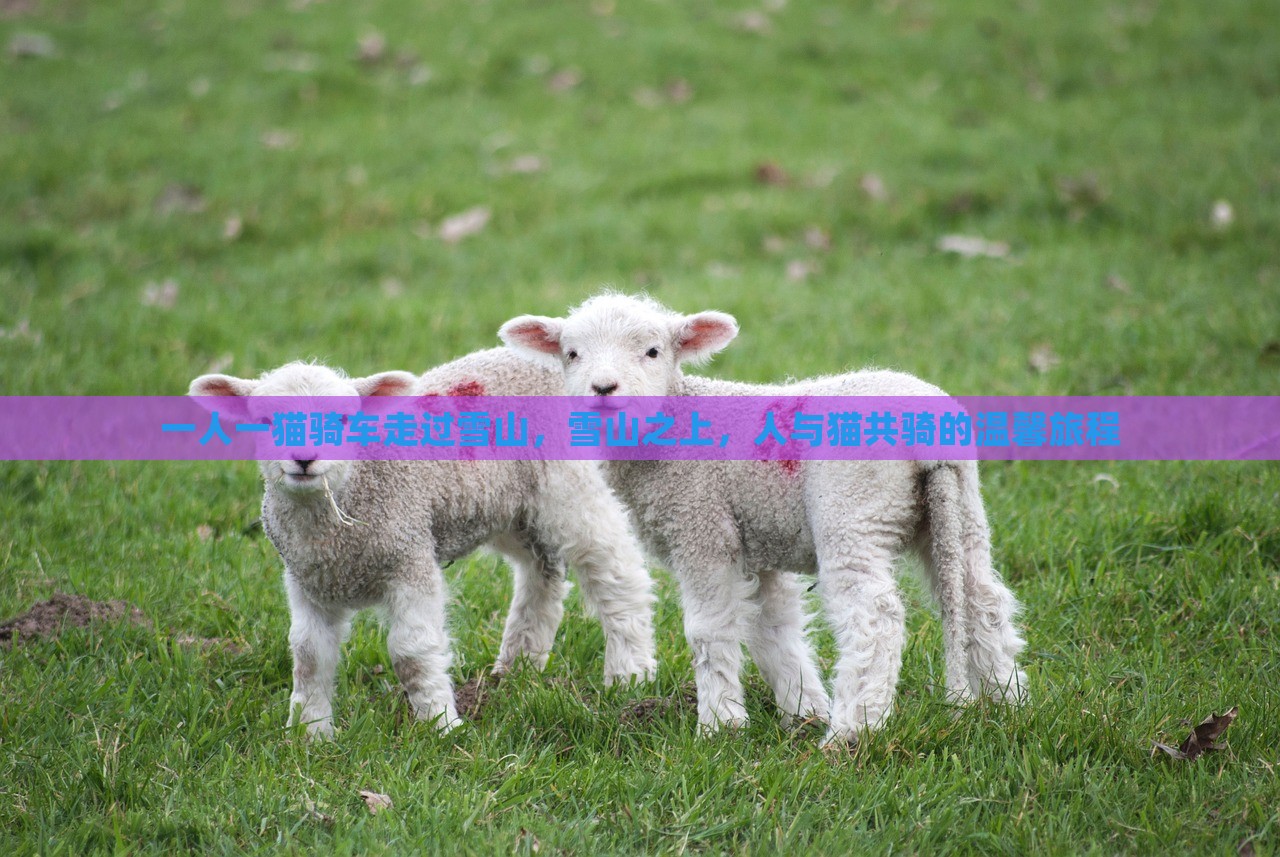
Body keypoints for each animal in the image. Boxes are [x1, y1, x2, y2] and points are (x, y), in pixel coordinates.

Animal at [189, 347, 660, 736]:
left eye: (344, 421)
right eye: (265, 421)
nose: (304, 458)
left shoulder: (409, 558)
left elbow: (411, 653)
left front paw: (440, 725)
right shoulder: (307, 581)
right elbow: (308, 656)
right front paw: (310, 734)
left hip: (571, 484)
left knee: (616, 572)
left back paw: (630, 674)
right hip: (510, 507)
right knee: (541, 572)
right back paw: (518, 668)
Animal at [499, 296, 1029, 746]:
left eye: (652, 351)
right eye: (571, 354)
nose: (603, 390)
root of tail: (932, 436)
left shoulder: (702, 527)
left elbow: (709, 629)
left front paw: (720, 725)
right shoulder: (758, 542)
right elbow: (773, 629)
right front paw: (802, 709)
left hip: (853, 511)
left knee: (875, 617)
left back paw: (851, 733)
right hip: (959, 510)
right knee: (981, 598)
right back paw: (1009, 704)